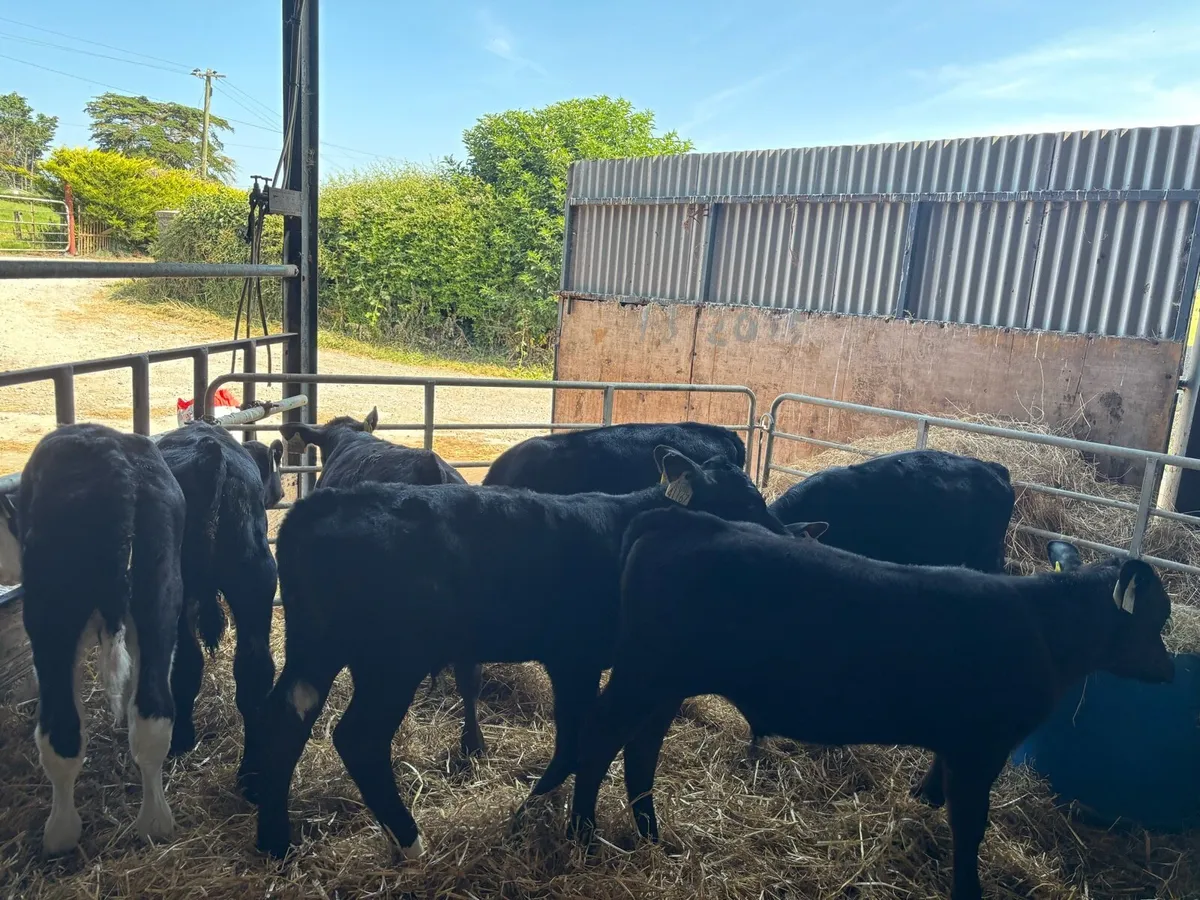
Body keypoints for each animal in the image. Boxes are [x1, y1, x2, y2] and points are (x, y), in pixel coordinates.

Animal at [14, 423, 186, 854]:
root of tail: (115, 467)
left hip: (52, 616)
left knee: (60, 733)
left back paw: (60, 834)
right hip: (160, 596)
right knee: (154, 714)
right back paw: (155, 824)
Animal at [251, 447, 789, 860]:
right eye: (747, 502)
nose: (788, 537)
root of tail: (319, 507)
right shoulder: (575, 658)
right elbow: (578, 739)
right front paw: (538, 817)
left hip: (316, 646)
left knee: (285, 717)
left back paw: (275, 841)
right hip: (392, 660)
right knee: (358, 737)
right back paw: (410, 843)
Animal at [567, 506, 1174, 900]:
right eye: (1157, 619)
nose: (1169, 671)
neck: (1044, 630)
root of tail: (679, 520)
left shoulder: (957, 743)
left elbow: (935, 789)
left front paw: (922, 807)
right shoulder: (982, 746)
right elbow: (969, 825)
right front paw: (967, 886)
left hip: (664, 684)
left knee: (641, 748)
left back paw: (651, 833)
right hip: (644, 674)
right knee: (599, 737)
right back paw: (583, 836)